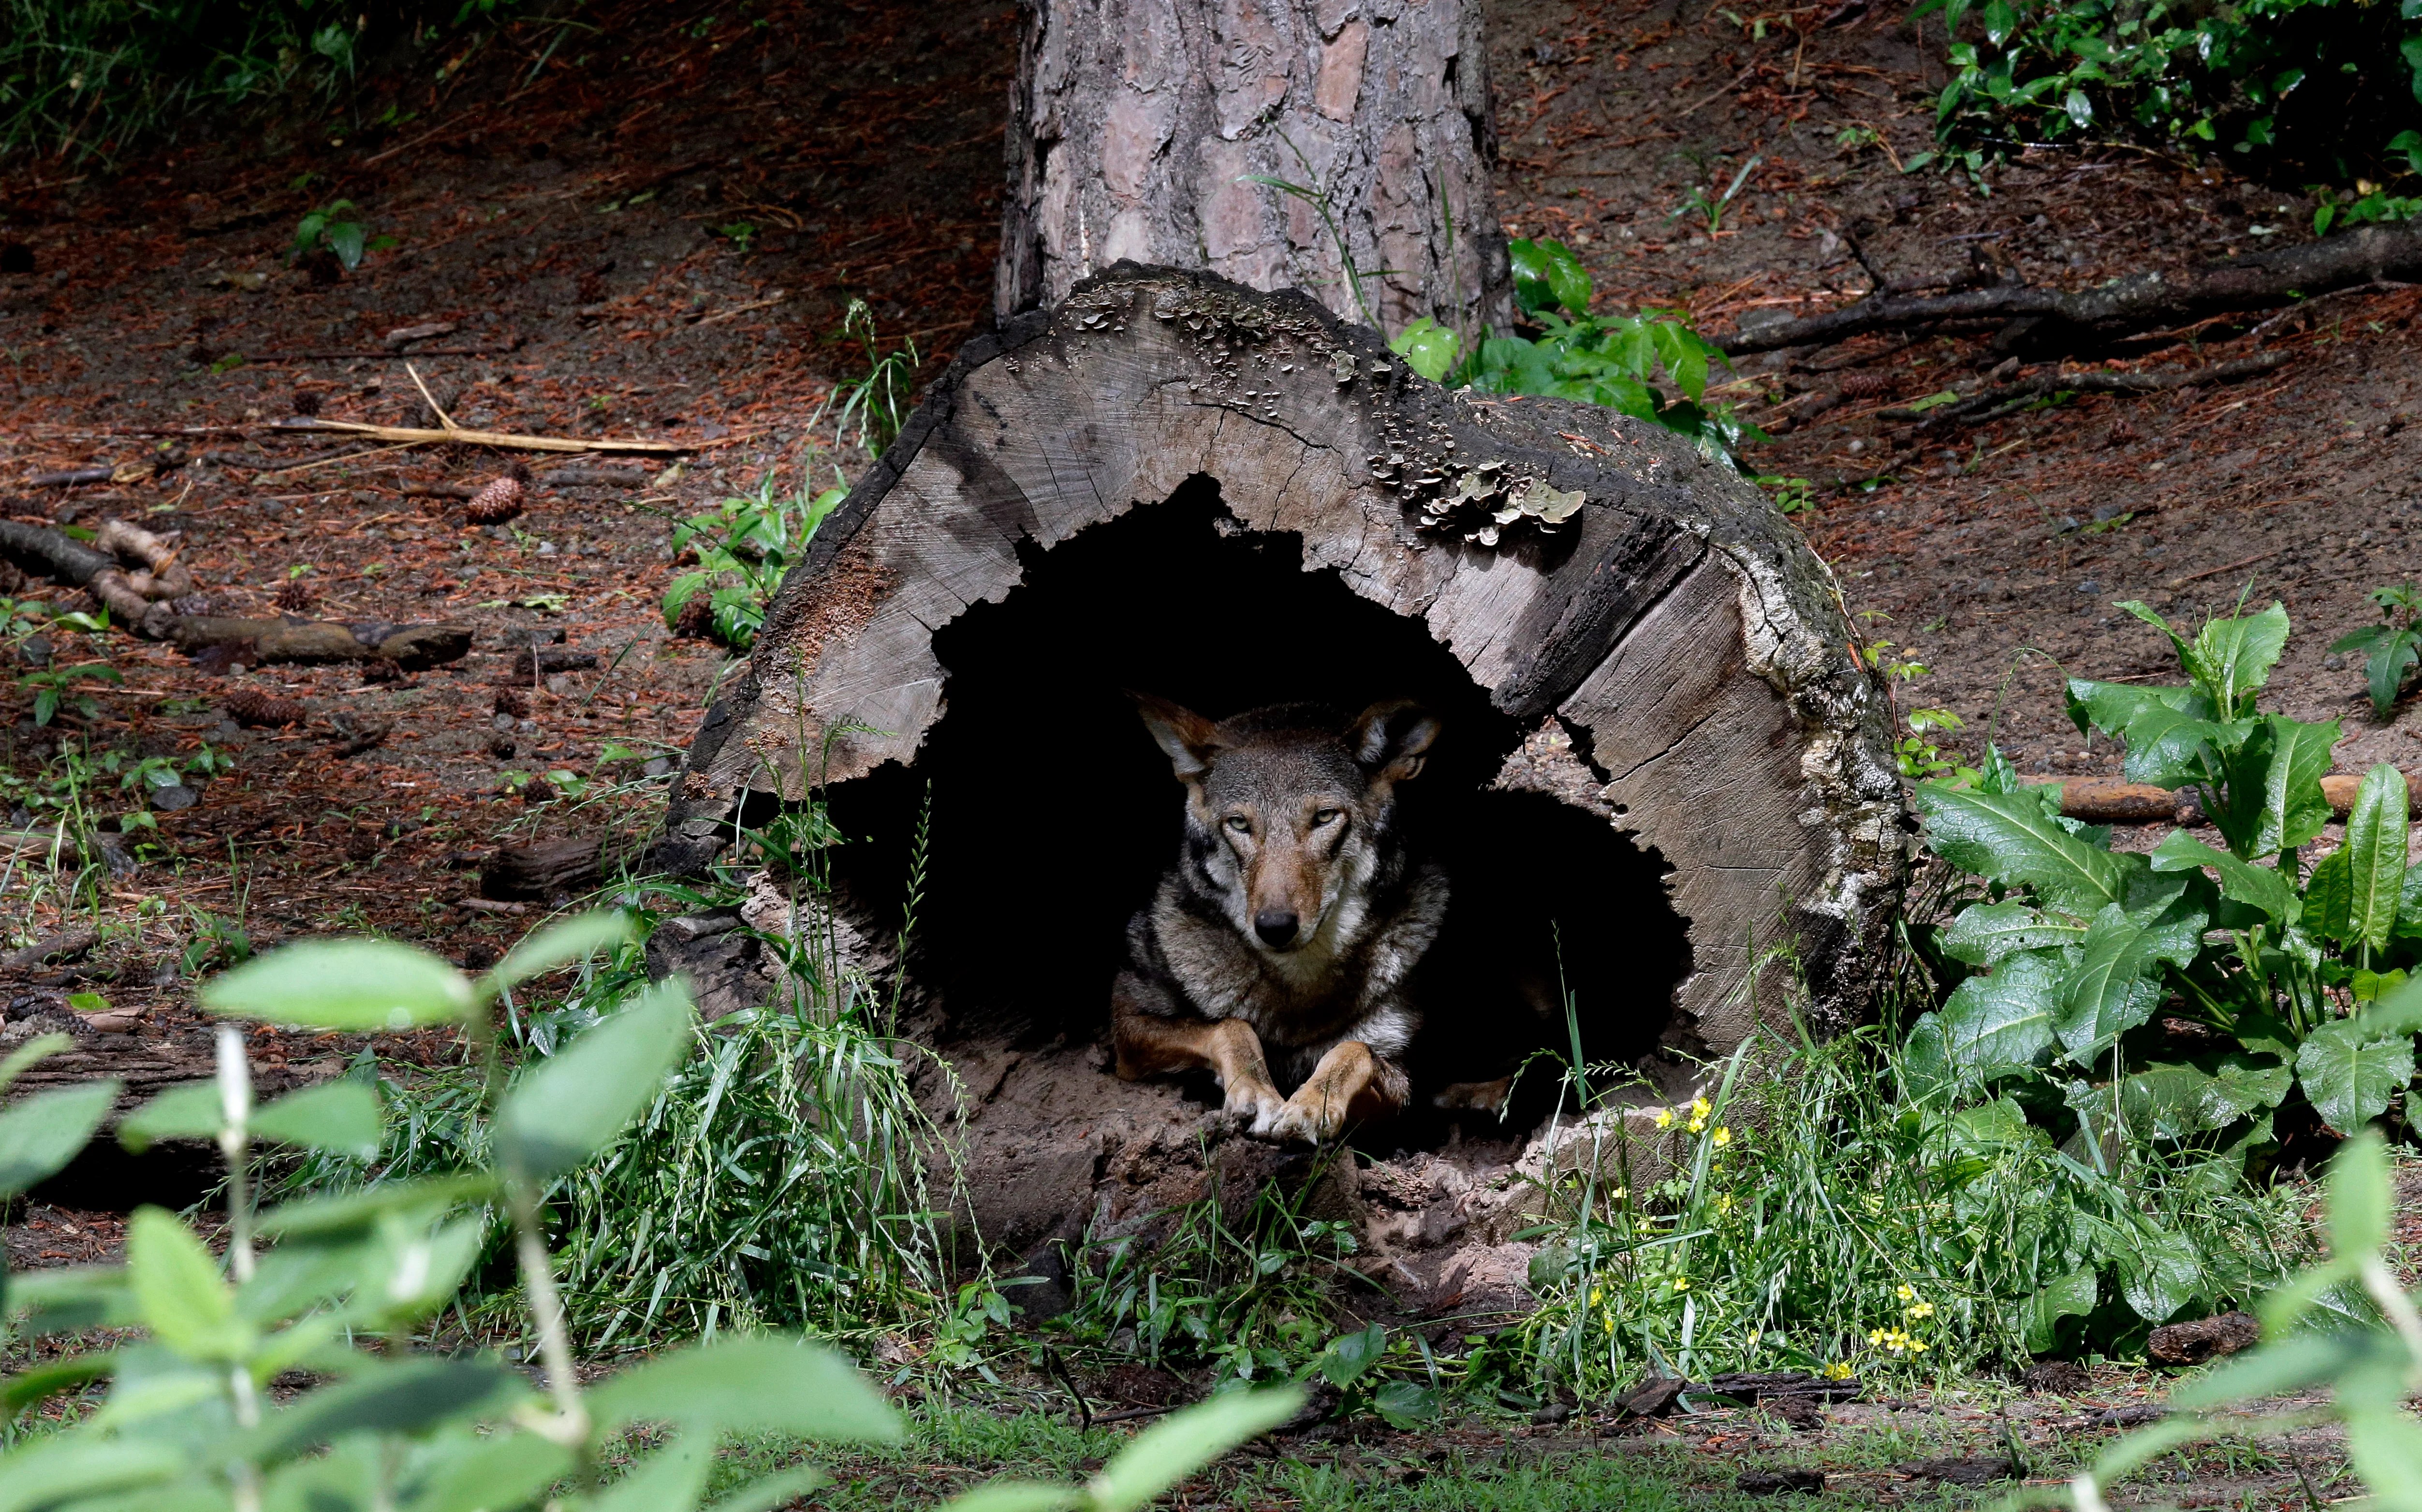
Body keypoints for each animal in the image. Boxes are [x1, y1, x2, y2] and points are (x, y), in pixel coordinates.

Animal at [1110, 695, 1454, 1144]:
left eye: (1324, 817)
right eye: (1239, 824)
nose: (1274, 927)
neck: (1300, 984)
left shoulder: (1403, 1085)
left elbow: (1352, 1051)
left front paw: (1311, 1104)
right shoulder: (1127, 1025)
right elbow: (1230, 1026)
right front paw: (1257, 1094)